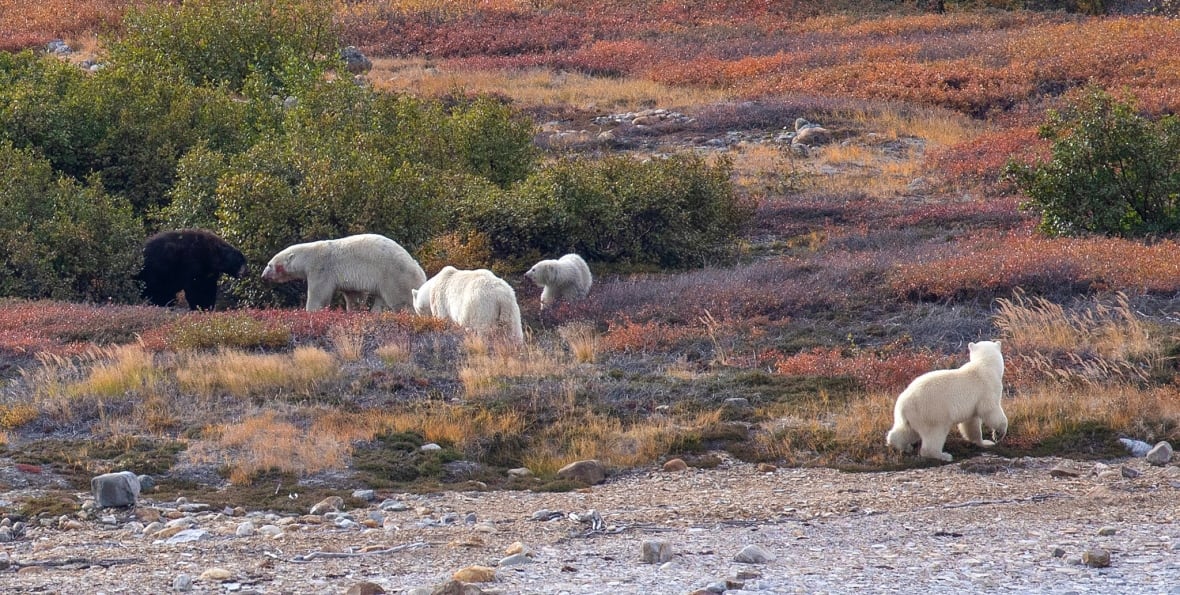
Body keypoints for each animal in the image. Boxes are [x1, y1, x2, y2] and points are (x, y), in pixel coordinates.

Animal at [261, 233, 427, 312]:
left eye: (269, 264)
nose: (263, 276)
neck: (307, 256)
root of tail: (420, 272)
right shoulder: (349, 280)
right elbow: (354, 296)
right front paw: (354, 311)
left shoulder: (321, 269)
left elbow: (319, 295)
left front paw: (310, 311)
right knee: (381, 300)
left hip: (394, 275)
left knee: (401, 300)